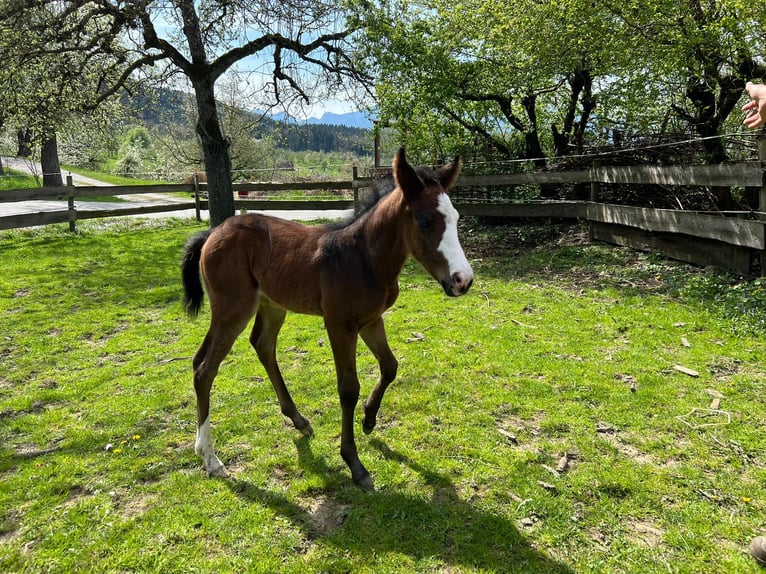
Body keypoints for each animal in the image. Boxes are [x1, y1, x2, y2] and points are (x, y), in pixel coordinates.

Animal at [181, 147, 474, 489]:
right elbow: (348, 388)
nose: (463, 280)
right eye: (424, 221)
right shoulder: (338, 325)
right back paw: (210, 457)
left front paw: (369, 419)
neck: (364, 259)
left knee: (258, 346)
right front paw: (354, 463)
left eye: (456, 218)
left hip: (270, 304)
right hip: (233, 309)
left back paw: (298, 420)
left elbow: (390, 366)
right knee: (205, 369)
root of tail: (213, 232)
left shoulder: (370, 320)